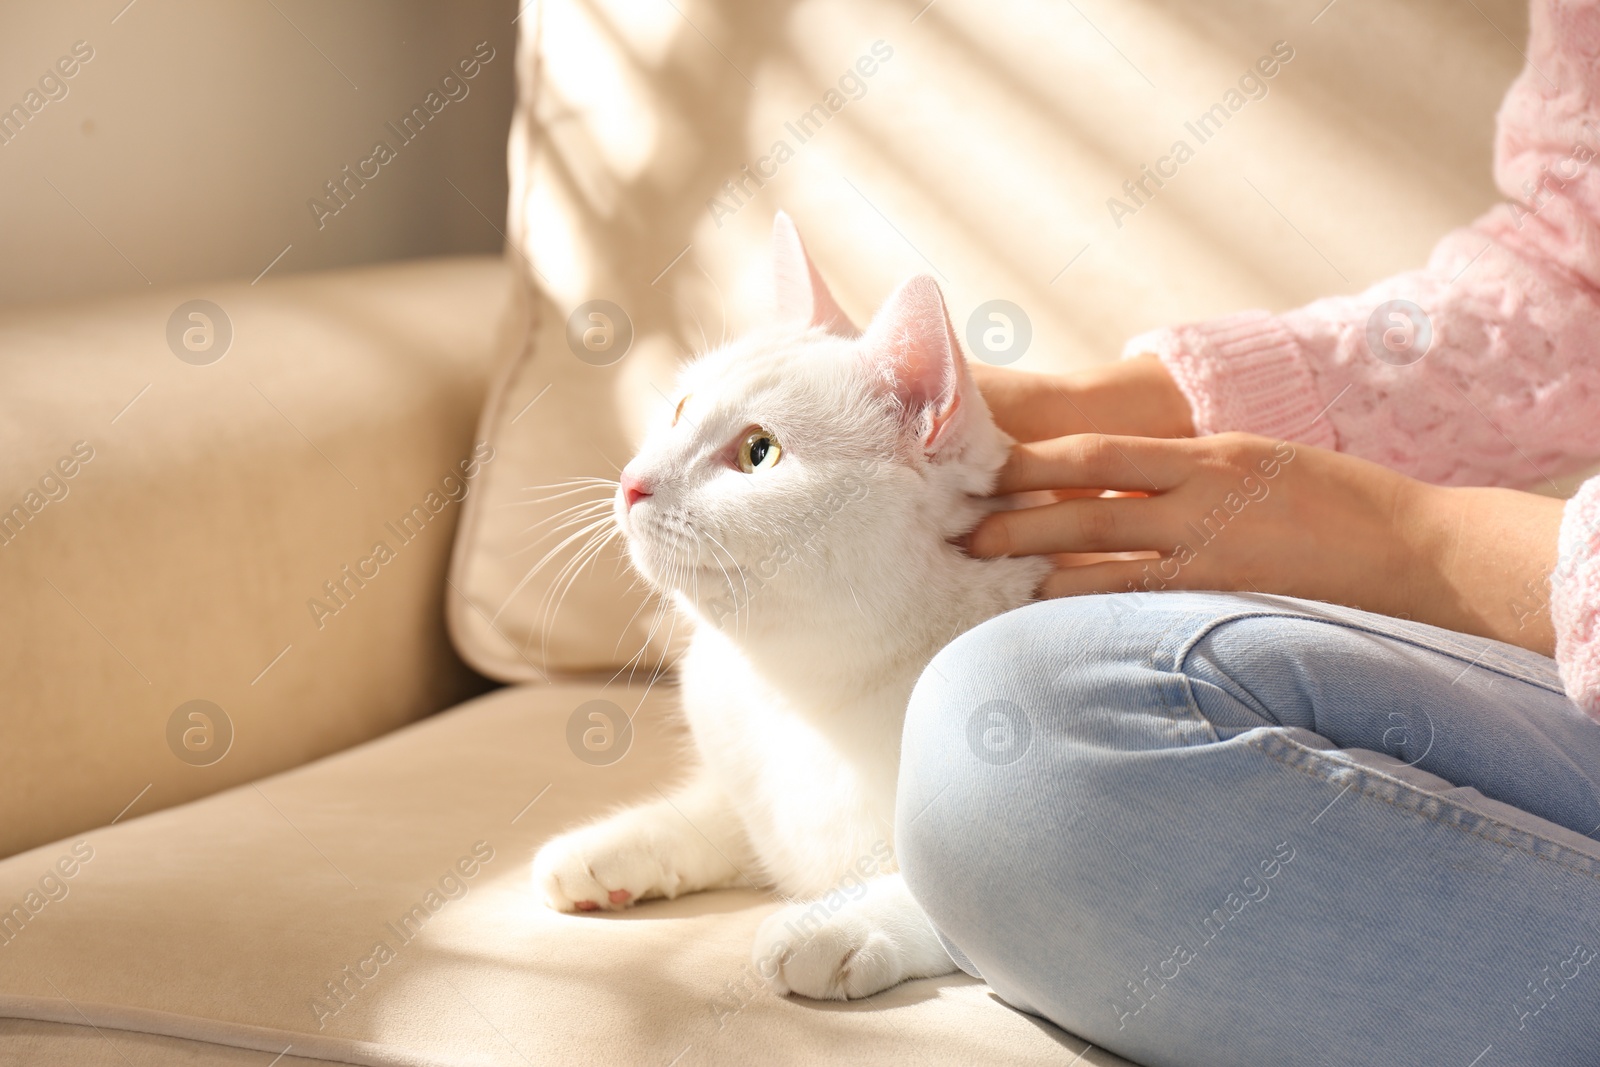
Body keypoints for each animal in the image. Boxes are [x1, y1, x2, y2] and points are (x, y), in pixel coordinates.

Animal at [528, 214, 1049, 1004]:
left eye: (759, 452)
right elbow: (721, 817)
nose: (631, 482)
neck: (802, 694)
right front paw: (611, 847)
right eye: (679, 409)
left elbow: (957, 897)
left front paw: (836, 924)